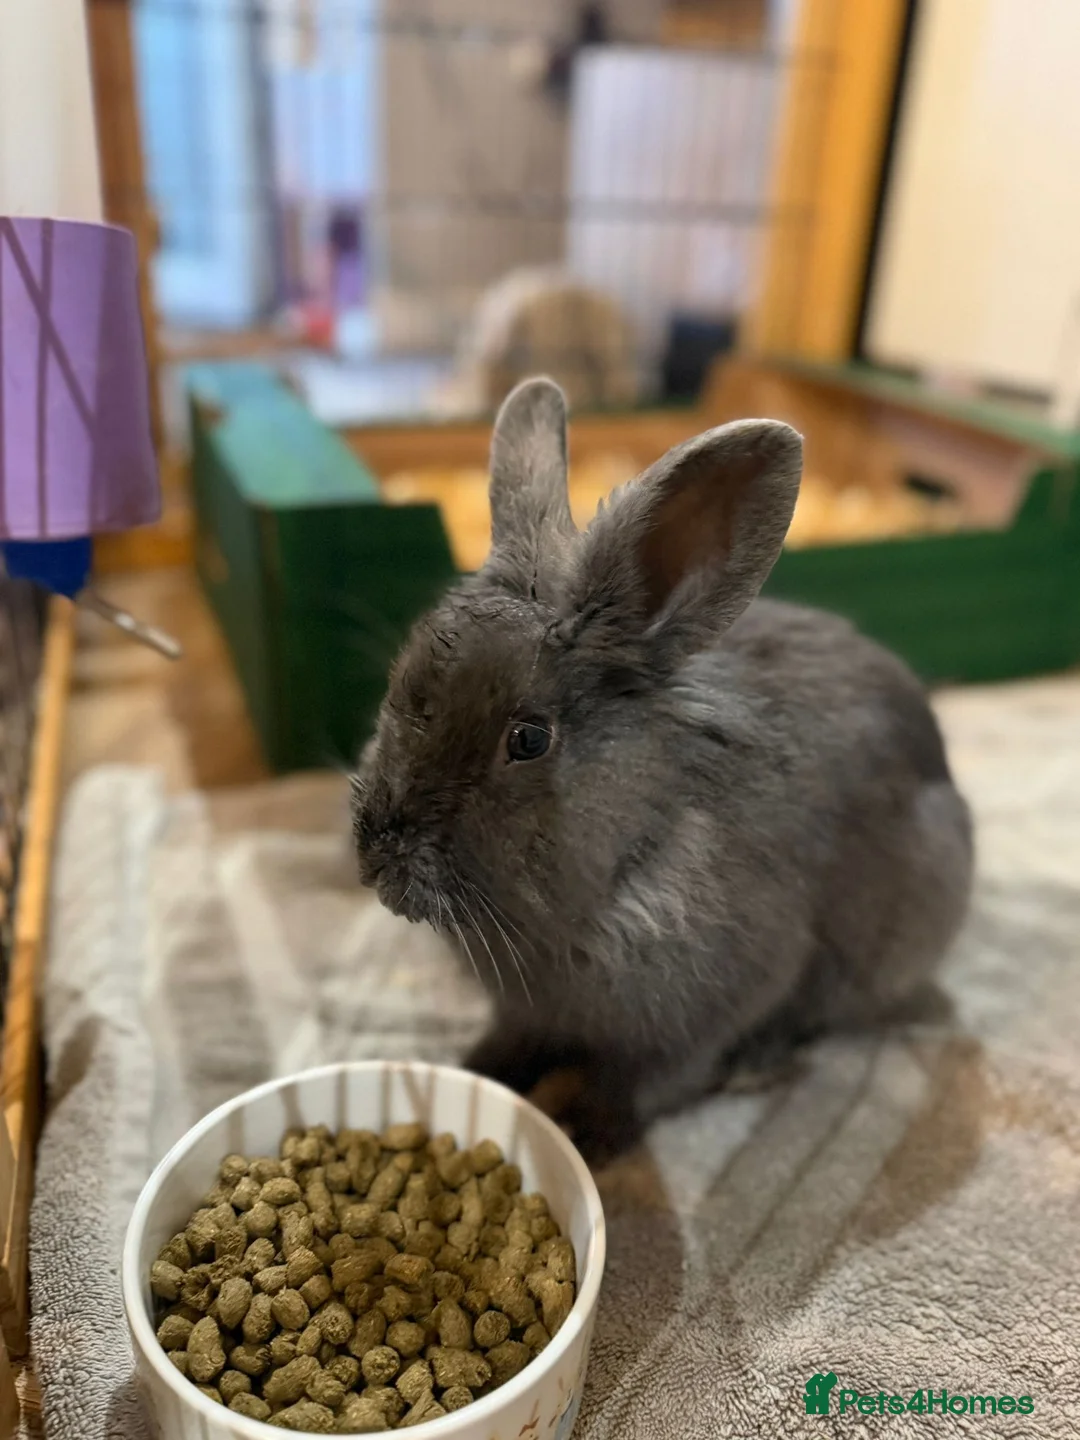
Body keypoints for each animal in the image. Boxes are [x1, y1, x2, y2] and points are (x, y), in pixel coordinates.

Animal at [351, 377, 974, 1162]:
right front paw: (471, 1071)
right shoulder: (528, 1012)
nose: (380, 849)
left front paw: (580, 1131)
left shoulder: (710, 1009)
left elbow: (644, 1084)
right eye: (400, 685)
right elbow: (513, 1042)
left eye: (528, 739)